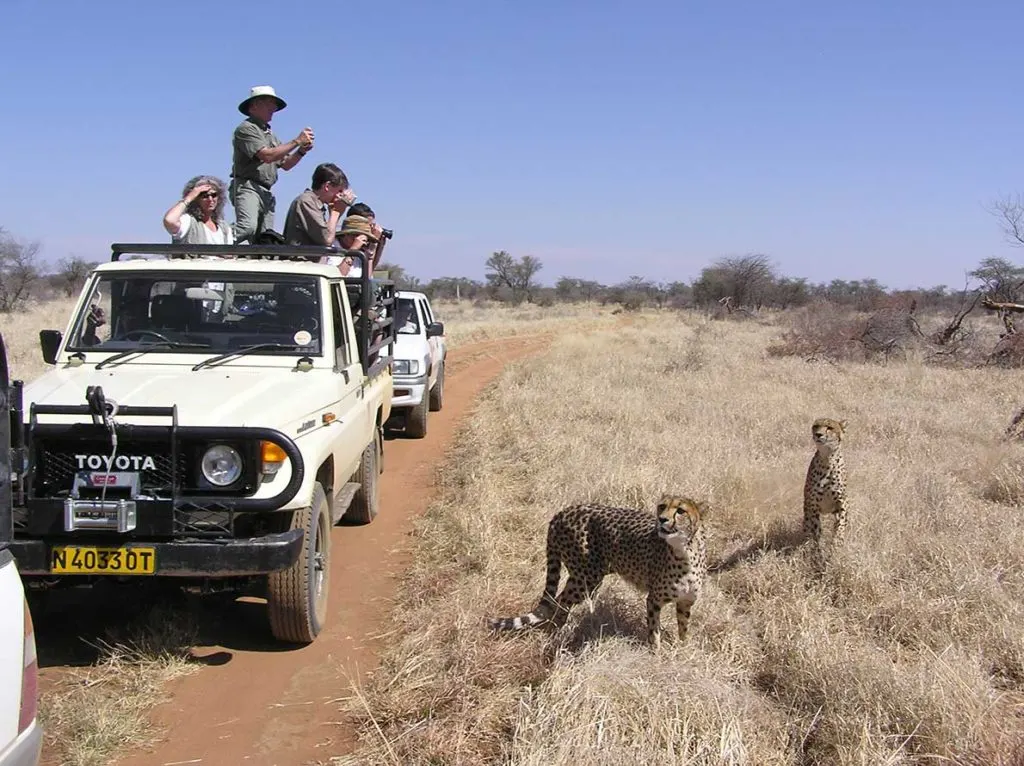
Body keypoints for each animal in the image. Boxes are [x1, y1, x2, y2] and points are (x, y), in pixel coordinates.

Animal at [485, 493, 708, 651]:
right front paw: (656, 654)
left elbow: (683, 627)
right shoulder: (653, 600)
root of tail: (564, 512)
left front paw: (684, 650)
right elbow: (654, 630)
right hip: (588, 577)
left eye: (680, 511)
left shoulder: (685, 601)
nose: (661, 519)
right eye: (662, 506)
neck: (685, 550)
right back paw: (556, 632)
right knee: (560, 601)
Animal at [802, 419, 851, 557]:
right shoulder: (813, 506)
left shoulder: (842, 502)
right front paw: (818, 551)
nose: (818, 434)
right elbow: (816, 531)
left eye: (830, 427)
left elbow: (840, 525)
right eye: (816, 426)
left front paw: (836, 544)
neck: (827, 458)